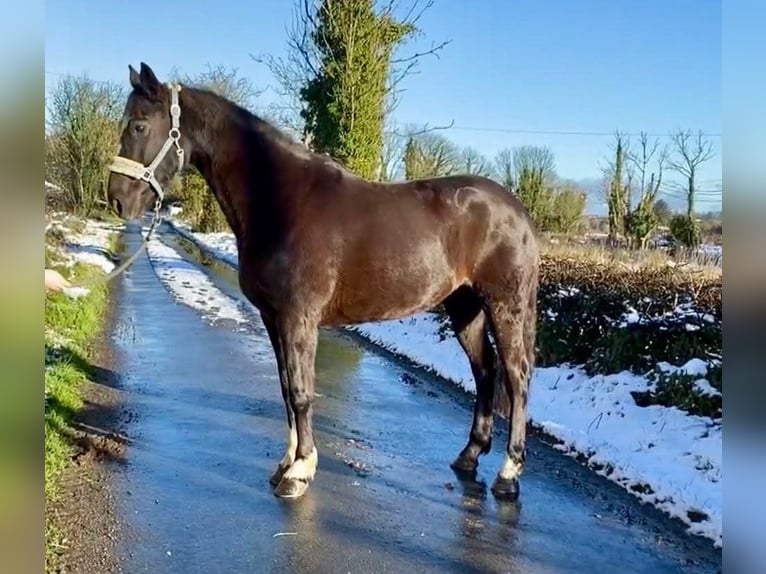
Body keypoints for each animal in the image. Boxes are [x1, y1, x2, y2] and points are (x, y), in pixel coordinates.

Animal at [108, 64, 544, 504]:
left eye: (140, 125)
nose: (117, 200)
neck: (280, 199)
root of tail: (519, 211)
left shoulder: (298, 317)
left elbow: (302, 391)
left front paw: (299, 472)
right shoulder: (273, 318)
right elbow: (286, 389)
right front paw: (287, 463)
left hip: (505, 307)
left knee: (517, 378)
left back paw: (508, 475)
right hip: (465, 308)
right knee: (485, 372)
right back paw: (468, 456)